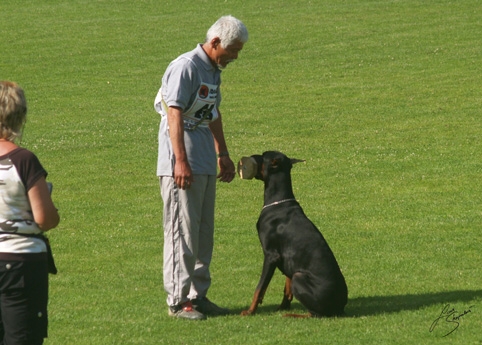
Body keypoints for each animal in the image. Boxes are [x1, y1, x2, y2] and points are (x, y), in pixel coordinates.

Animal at [237, 149, 346, 316]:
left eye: (263, 156)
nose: (252, 156)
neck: (279, 201)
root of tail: (340, 307)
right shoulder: (288, 257)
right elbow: (287, 288)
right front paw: (282, 306)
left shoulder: (271, 255)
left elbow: (259, 288)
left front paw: (250, 311)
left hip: (299, 277)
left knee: (315, 314)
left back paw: (293, 315)